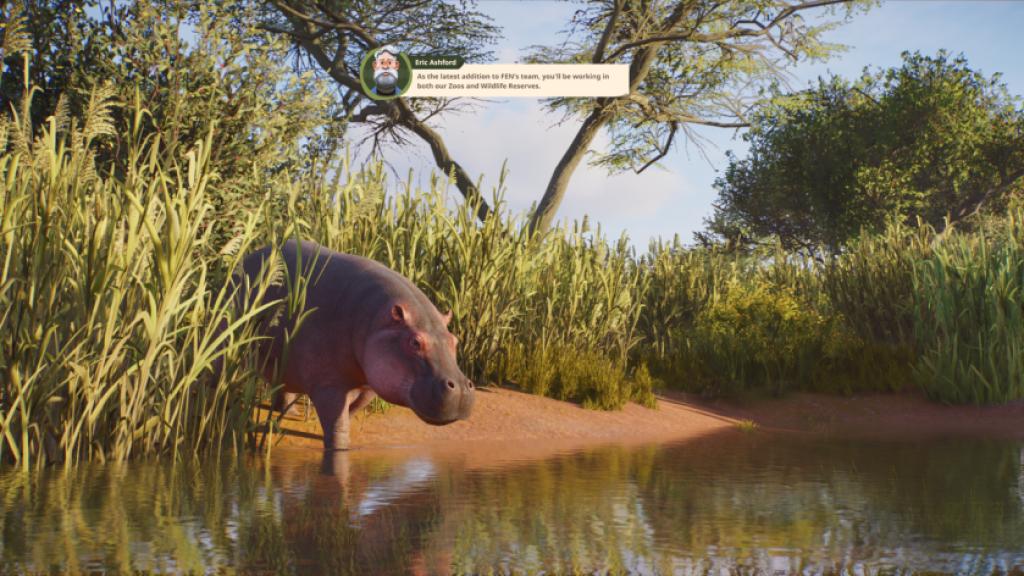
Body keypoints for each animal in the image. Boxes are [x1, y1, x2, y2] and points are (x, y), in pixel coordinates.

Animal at [236, 239, 474, 451]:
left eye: (454, 340)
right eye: (415, 341)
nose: (462, 388)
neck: (376, 319)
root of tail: (248, 257)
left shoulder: (370, 384)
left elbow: (352, 410)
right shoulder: (328, 384)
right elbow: (337, 424)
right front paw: (339, 449)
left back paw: (287, 412)